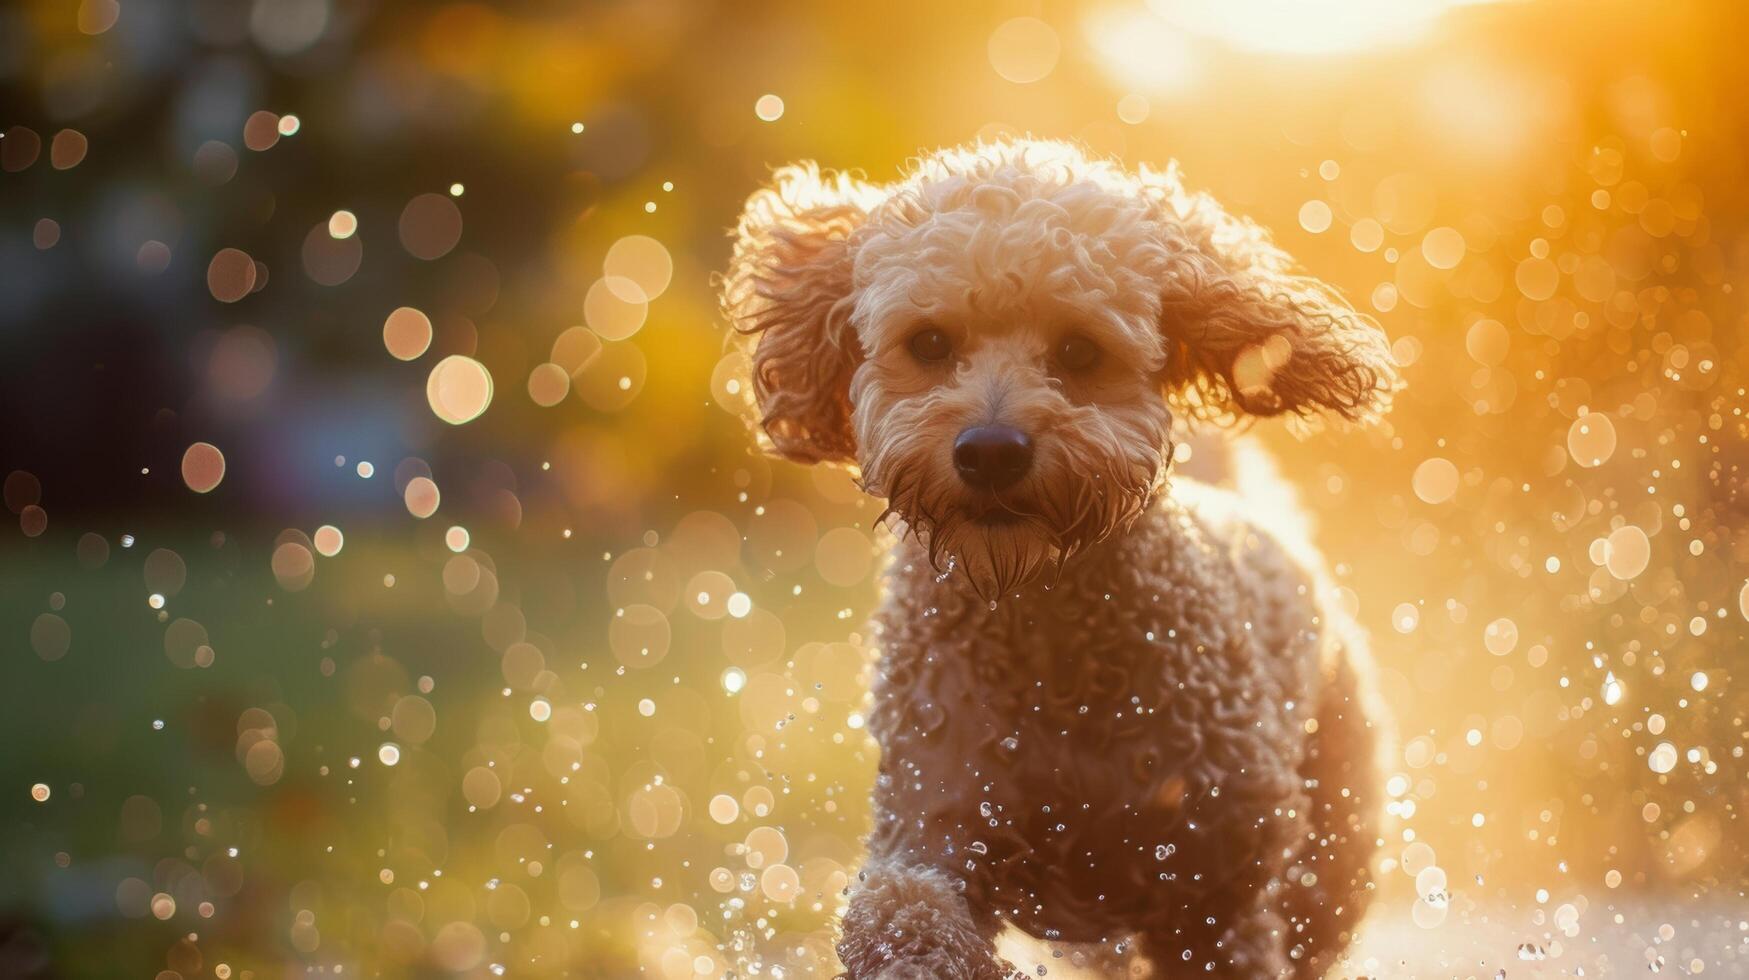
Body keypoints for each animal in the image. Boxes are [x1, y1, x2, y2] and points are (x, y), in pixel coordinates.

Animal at [717, 140, 1399, 980]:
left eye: (1079, 349)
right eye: (929, 343)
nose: (989, 451)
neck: (1042, 632)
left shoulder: (1212, 898)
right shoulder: (933, 819)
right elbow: (903, 910)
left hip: (1327, 847)